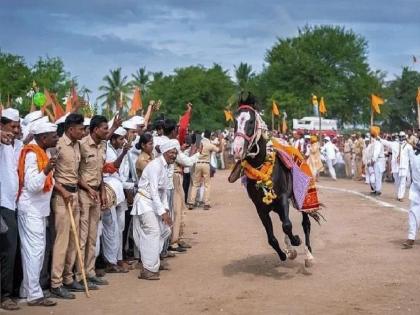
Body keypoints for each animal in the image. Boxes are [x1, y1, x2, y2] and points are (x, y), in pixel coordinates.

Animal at [230, 94, 316, 264]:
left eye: (251, 121)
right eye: (235, 121)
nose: (237, 149)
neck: (261, 165)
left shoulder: (282, 197)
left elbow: (287, 225)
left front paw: (296, 241)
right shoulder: (260, 208)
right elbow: (271, 238)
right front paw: (284, 253)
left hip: (301, 197)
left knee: (305, 223)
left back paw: (308, 255)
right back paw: (289, 249)